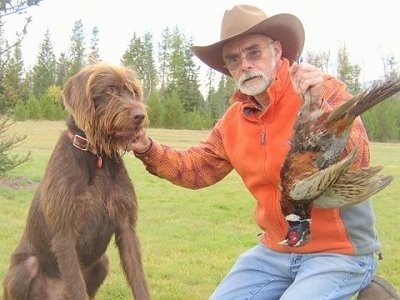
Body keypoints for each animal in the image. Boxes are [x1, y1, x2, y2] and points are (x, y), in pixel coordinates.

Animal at [2, 63, 150, 300]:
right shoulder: (65, 233)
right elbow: (76, 284)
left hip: (102, 263)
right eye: (110, 90)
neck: (96, 157)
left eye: (134, 92)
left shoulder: (126, 225)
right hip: (24, 267)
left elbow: (139, 280)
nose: (140, 115)